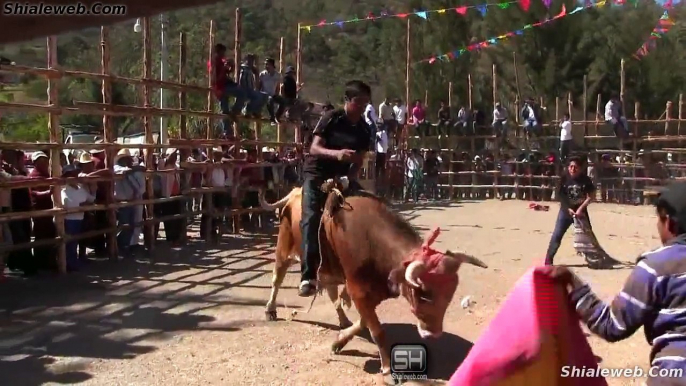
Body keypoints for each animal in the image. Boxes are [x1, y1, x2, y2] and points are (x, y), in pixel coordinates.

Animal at [260, 184, 490, 376]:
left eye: (450, 294)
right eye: (423, 293)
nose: (432, 333)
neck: (372, 240)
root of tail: (295, 192)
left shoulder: (371, 292)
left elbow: (364, 322)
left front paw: (339, 341)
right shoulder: (358, 291)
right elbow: (377, 330)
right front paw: (386, 365)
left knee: (332, 291)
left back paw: (342, 319)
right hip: (283, 249)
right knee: (276, 280)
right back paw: (270, 309)